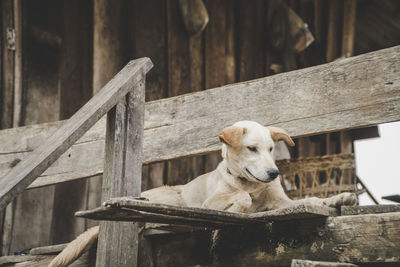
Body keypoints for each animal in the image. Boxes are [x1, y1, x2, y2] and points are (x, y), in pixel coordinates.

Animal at [49, 122, 356, 267]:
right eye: (252, 148)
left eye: (271, 149)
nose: (273, 173)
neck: (251, 184)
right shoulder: (213, 200)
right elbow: (241, 200)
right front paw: (238, 209)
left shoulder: (282, 203)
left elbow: (311, 200)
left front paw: (339, 198)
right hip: (165, 201)